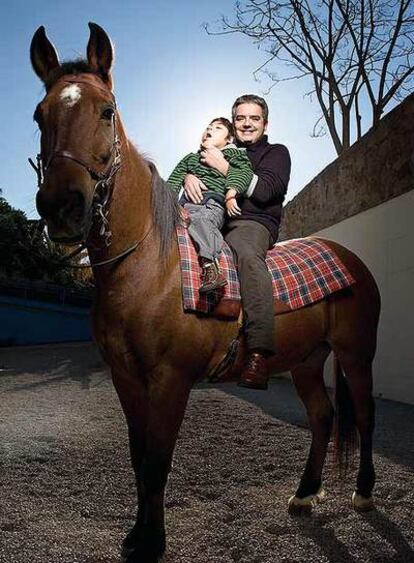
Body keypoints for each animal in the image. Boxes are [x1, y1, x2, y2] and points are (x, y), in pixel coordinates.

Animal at [29, 23, 382, 563]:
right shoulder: (126, 379)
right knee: (323, 417)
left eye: (106, 110)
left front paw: (151, 543)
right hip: (306, 360)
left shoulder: (170, 380)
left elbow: (157, 462)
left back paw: (362, 493)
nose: (62, 207)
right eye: (39, 115)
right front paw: (137, 536)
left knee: (363, 415)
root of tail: (347, 256)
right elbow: (139, 458)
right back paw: (304, 494)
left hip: (357, 354)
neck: (149, 267)